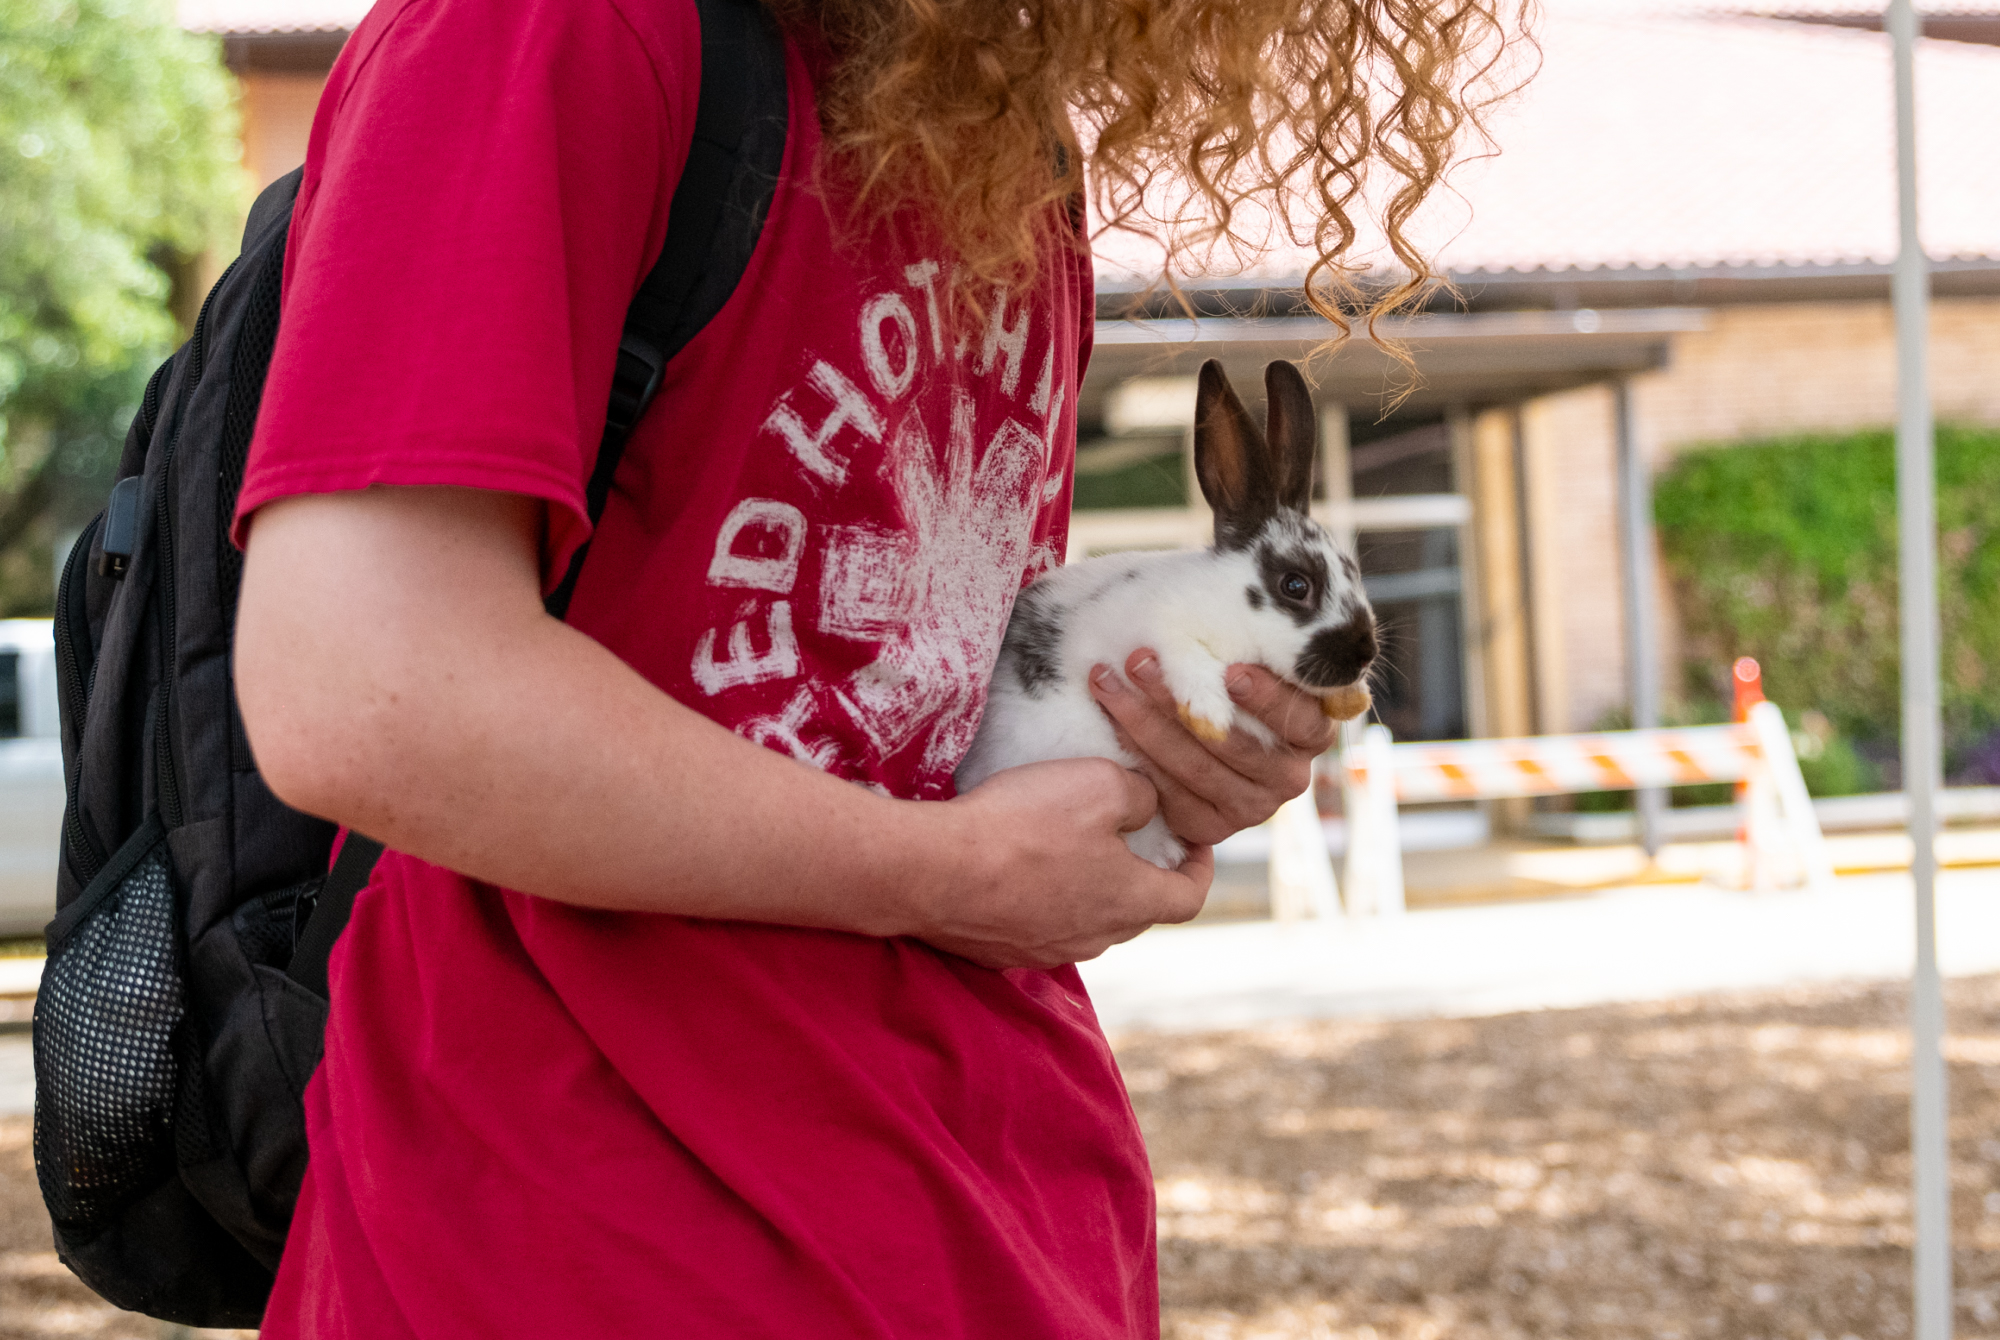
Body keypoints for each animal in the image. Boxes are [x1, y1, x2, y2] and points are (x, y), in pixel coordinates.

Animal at [955, 358, 1379, 870]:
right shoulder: (1149, 629)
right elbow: (1185, 656)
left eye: (1353, 570)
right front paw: (1210, 717)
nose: (1363, 653)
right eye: (1295, 585)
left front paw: (1352, 699)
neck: (1228, 611)